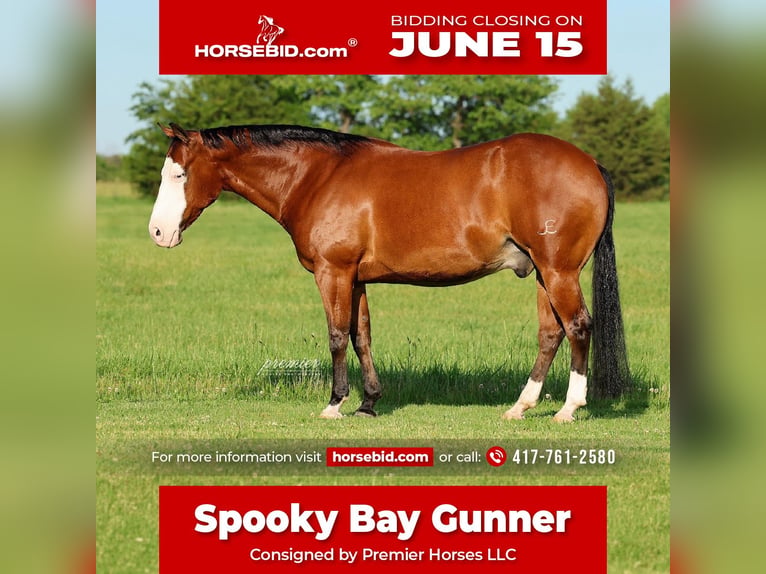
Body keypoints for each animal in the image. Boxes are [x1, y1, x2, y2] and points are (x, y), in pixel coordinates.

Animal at [149, 123, 630, 422]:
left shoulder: (333, 273)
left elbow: (337, 336)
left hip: (559, 271)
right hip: (544, 274)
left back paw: (569, 408)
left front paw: (335, 404)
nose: (157, 232)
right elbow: (361, 336)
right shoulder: (356, 278)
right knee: (551, 333)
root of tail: (590, 164)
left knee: (578, 326)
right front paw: (369, 402)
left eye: (179, 174)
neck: (318, 176)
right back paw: (521, 406)